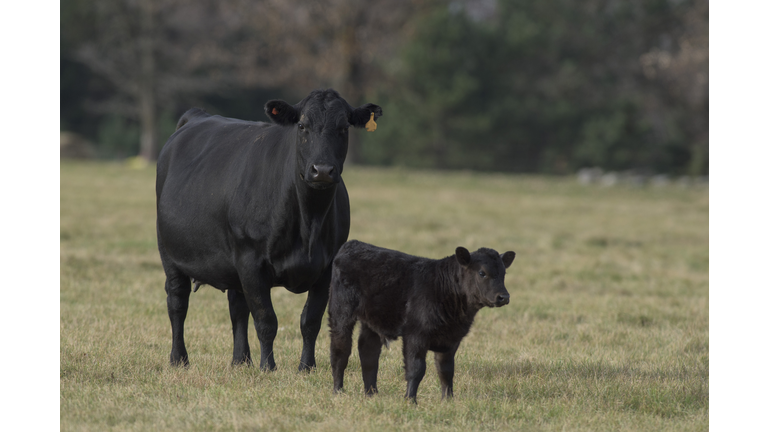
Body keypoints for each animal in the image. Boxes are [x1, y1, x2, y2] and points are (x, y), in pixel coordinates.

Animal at [157, 88, 384, 372]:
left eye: (344, 127)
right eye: (302, 126)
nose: (322, 170)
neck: (308, 225)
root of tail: (197, 116)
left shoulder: (326, 267)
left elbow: (311, 321)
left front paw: (306, 367)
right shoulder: (251, 261)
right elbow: (266, 320)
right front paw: (268, 367)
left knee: (237, 307)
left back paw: (241, 361)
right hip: (170, 254)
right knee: (177, 302)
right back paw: (179, 359)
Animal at [328, 241, 516, 404]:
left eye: (504, 274)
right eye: (482, 272)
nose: (504, 297)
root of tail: (353, 244)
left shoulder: (451, 339)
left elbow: (446, 370)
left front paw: (448, 400)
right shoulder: (415, 334)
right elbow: (416, 369)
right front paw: (410, 400)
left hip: (373, 320)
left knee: (368, 352)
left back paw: (371, 394)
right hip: (340, 312)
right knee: (340, 350)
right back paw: (338, 391)